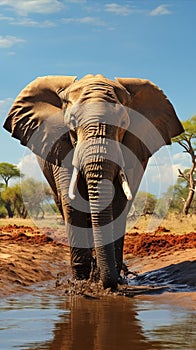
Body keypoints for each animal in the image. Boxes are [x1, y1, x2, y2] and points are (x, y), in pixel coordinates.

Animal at [3, 72, 184, 288]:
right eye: (72, 123)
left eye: (124, 123)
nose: (109, 282)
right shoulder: (60, 145)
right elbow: (72, 204)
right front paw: (81, 284)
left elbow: (118, 203)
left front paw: (110, 280)